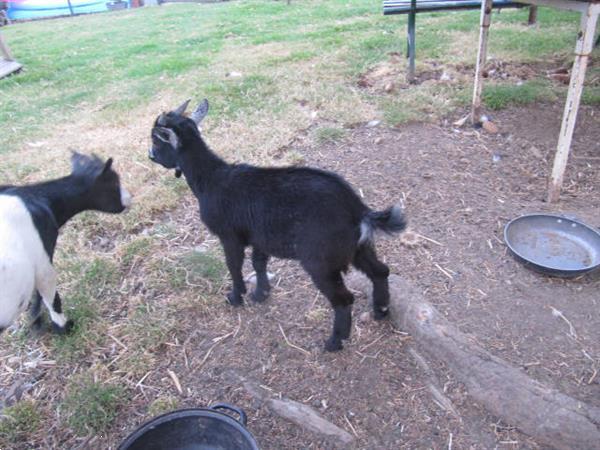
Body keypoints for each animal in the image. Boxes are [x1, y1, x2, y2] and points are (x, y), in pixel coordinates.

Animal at [0, 154, 131, 334]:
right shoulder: (42, 262)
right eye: (114, 183)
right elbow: (51, 297)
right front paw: (63, 326)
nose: (129, 199)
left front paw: (35, 320)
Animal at [148, 99, 406, 352]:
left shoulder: (229, 236)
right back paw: (381, 310)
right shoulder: (259, 236)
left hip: (320, 260)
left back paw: (335, 341)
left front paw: (236, 297)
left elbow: (233, 265)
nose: (150, 156)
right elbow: (258, 263)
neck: (211, 179)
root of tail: (356, 209)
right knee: (380, 271)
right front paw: (261, 294)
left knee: (344, 299)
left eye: (155, 140)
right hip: (358, 247)